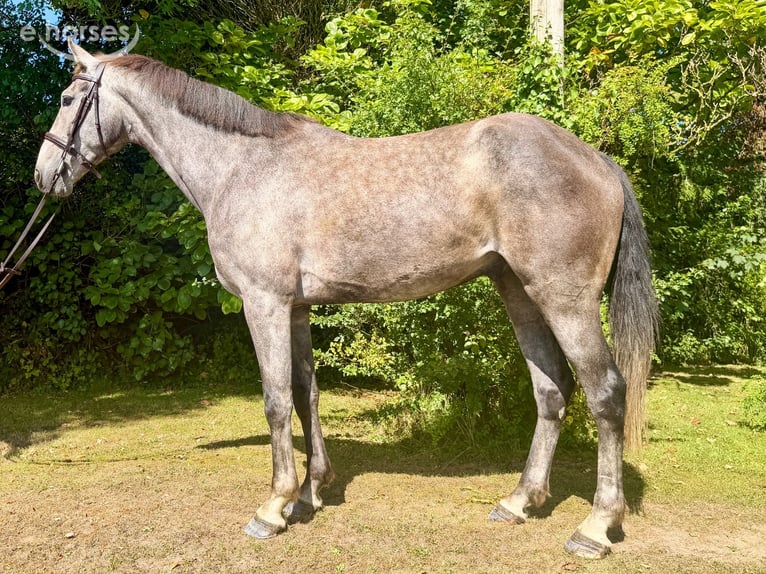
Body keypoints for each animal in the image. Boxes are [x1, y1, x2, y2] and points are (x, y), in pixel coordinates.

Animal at [34, 41, 658, 559]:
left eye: (66, 98)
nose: (44, 176)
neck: (242, 167)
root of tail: (598, 160)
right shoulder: (297, 307)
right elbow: (306, 393)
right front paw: (311, 492)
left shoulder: (263, 303)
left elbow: (276, 400)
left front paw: (274, 507)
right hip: (519, 293)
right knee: (551, 389)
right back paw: (520, 500)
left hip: (564, 300)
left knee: (606, 392)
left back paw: (596, 527)